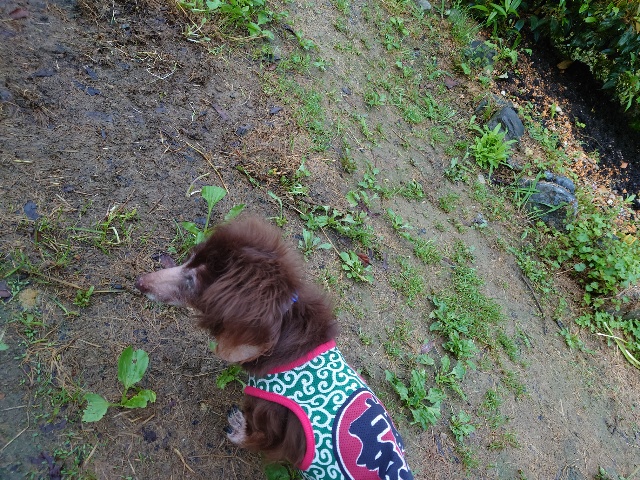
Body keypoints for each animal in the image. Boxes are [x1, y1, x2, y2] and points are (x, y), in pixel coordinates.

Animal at [135, 216, 414, 479]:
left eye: (192, 281)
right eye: (189, 258)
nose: (140, 282)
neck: (282, 333)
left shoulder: (273, 422)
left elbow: (259, 437)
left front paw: (238, 430)